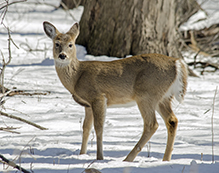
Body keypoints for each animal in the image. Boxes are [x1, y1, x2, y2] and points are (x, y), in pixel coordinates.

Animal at [43, 21, 188, 162]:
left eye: (70, 44)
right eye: (56, 43)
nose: (62, 55)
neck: (77, 76)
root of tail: (177, 63)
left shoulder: (98, 97)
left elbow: (99, 127)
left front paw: (99, 157)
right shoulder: (87, 105)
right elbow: (86, 128)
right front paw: (82, 154)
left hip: (147, 94)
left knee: (152, 124)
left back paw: (128, 159)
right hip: (163, 97)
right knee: (172, 120)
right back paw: (166, 159)